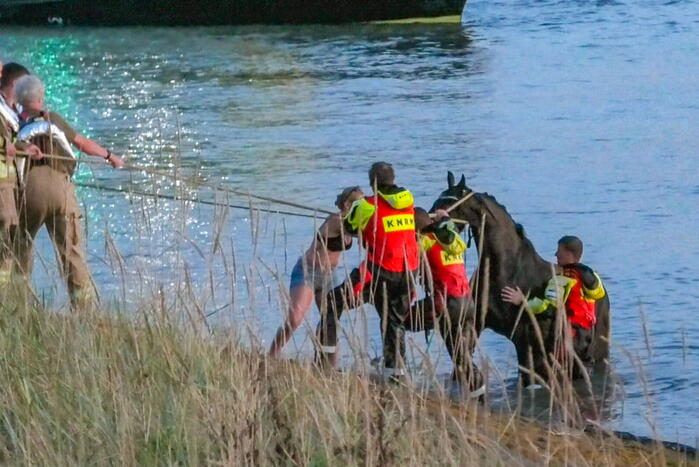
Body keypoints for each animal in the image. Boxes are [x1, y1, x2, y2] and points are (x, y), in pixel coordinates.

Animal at [432, 173, 612, 388]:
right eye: (440, 198)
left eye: (452, 203)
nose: (430, 222)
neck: (503, 269)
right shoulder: (474, 323)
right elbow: (461, 356)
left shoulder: (522, 337)